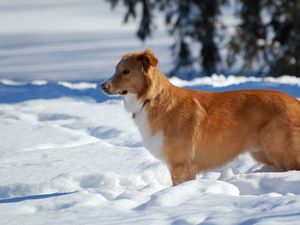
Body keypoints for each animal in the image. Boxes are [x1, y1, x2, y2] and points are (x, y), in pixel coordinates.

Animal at [101, 50, 300, 185]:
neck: (151, 99)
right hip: (263, 153)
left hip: (279, 149)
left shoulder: (182, 165)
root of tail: (295, 102)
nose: (103, 86)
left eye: (126, 71)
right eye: (116, 70)